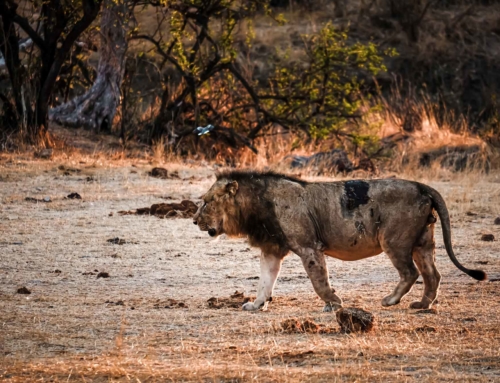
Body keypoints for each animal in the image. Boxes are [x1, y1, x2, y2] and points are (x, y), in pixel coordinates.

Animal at [193, 171, 486, 312]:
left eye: (206, 202)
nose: (194, 221)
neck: (255, 205)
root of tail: (423, 186)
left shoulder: (308, 246)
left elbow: (319, 281)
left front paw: (333, 303)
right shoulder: (271, 249)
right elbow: (265, 282)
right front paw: (255, 305)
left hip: (394, 240)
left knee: (410, 273)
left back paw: (390, 300)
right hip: (422, 242)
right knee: (432, 274)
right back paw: (423, 305)